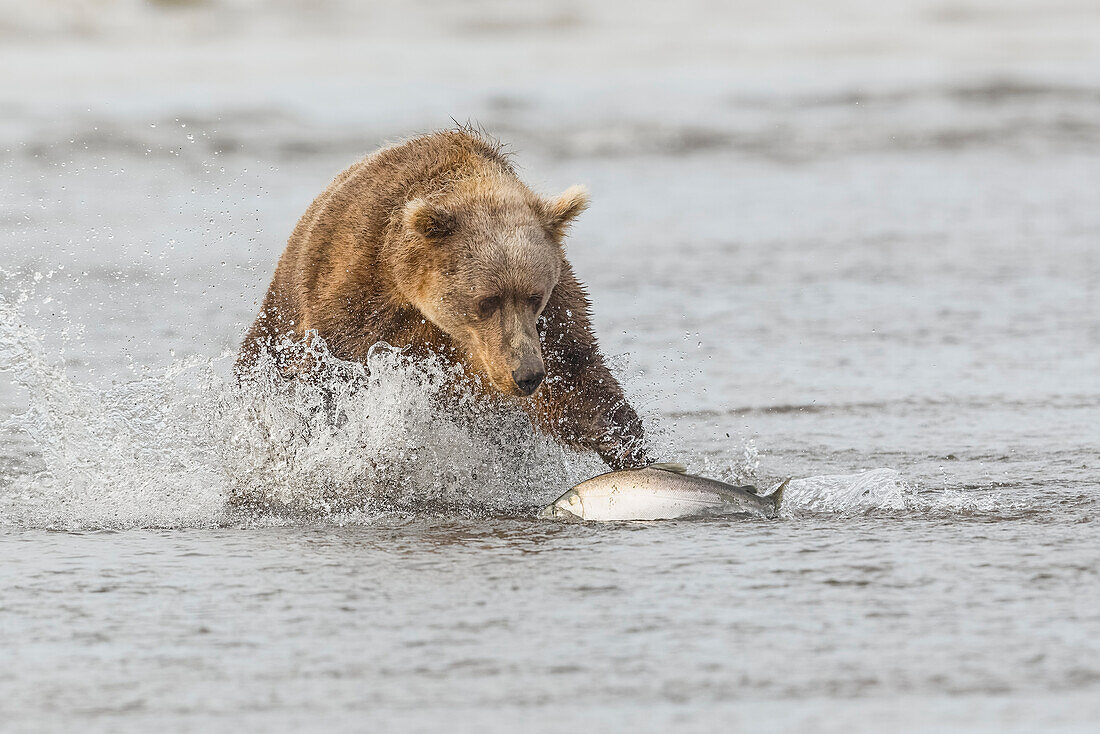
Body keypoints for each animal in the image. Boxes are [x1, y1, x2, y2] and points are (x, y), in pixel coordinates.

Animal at [232, 128, 642, 468]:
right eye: (486, 300)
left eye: (533, 296)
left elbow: (574, 376)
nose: (526, 374)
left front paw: (628, 445)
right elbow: (329, 378)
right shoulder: (358, 297)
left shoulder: (552, 311)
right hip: (280, 314)